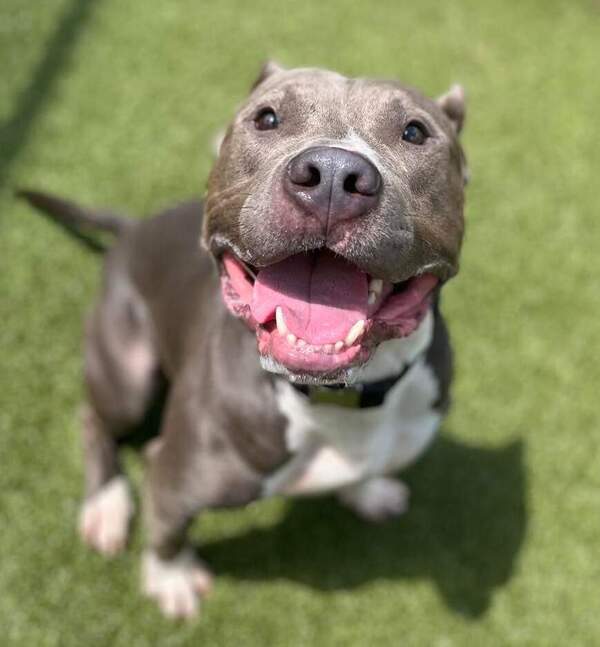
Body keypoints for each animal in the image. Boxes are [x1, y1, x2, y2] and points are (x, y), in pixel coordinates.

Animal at [18, 63, 468, 620]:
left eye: (414, 132)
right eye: (267, 117)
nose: (334, 176)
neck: (336, 403)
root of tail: (134, 228)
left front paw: (367, 490)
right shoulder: (174, 473)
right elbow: (168, 530)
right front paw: (171, 578)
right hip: (126, 372)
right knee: (95, 421)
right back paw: (106, 505)